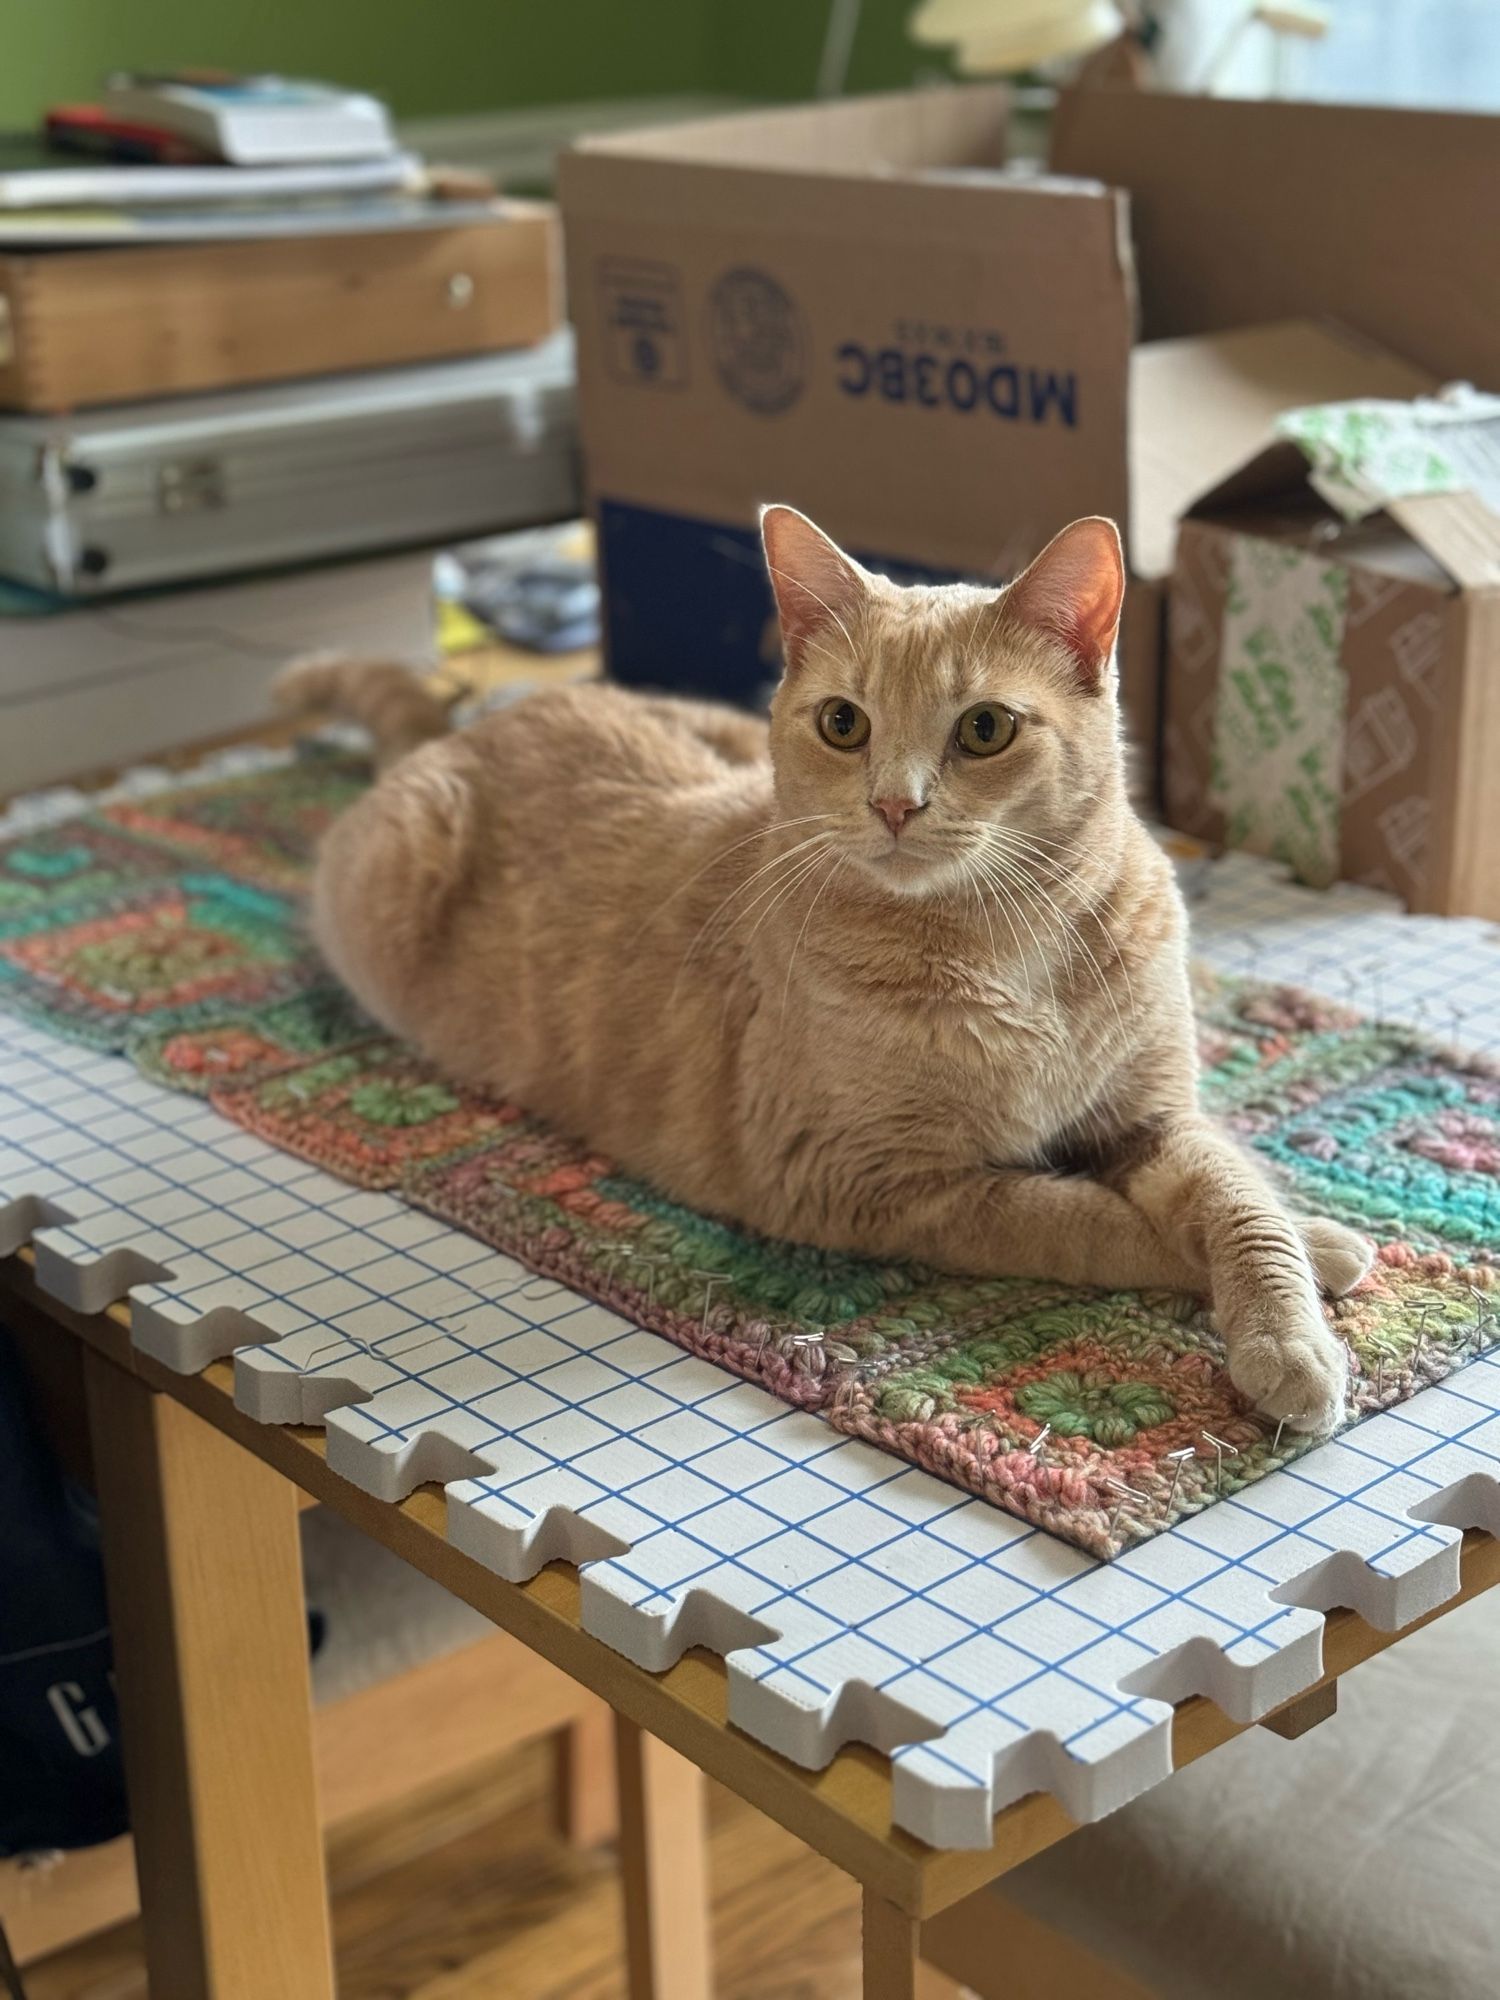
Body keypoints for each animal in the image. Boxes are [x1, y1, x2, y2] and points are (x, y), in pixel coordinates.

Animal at [280, 508, 1376, 1432]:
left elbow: (1238, 1199)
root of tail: (469, 727)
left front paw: (1294, 1291)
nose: (895, 803)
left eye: (985, 728)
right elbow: (1088, 1221)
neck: (1007, 946)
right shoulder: (883, 1183)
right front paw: (1314, 1253)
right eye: (844, 722)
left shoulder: (1150, 1117)